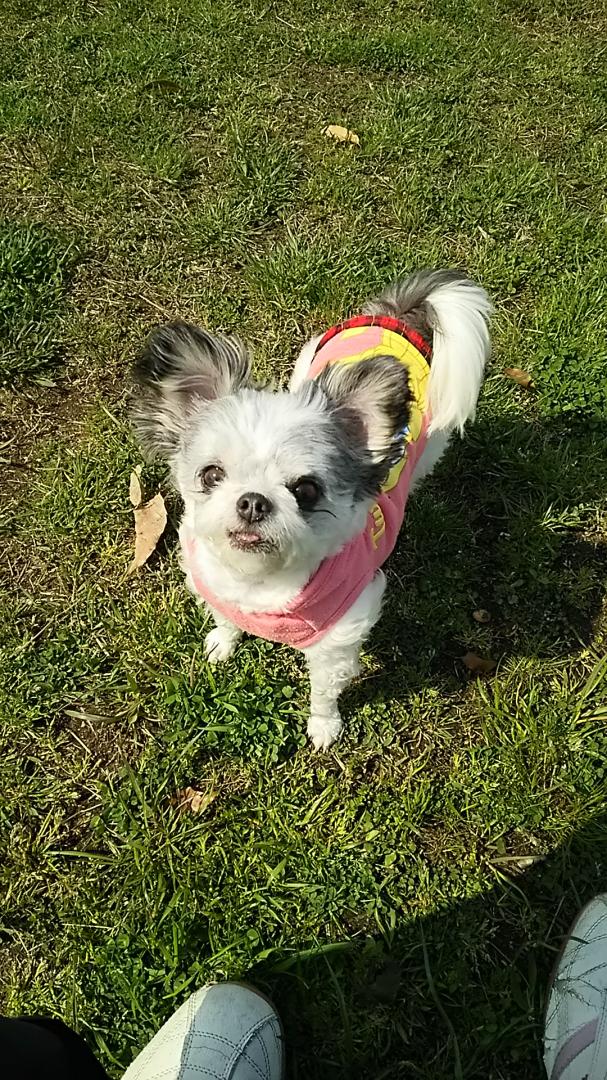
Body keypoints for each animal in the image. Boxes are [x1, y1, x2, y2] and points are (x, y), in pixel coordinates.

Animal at [132, 270, 492, 750]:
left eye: (306, 490)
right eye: (211, 475)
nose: (253, 501)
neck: (258, 585)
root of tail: (395, 316)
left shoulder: (337, 640)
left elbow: (324, 691)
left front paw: (323, 726)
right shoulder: (215, 588)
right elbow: (224, 619)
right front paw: (223, 642)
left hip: (431, 441)